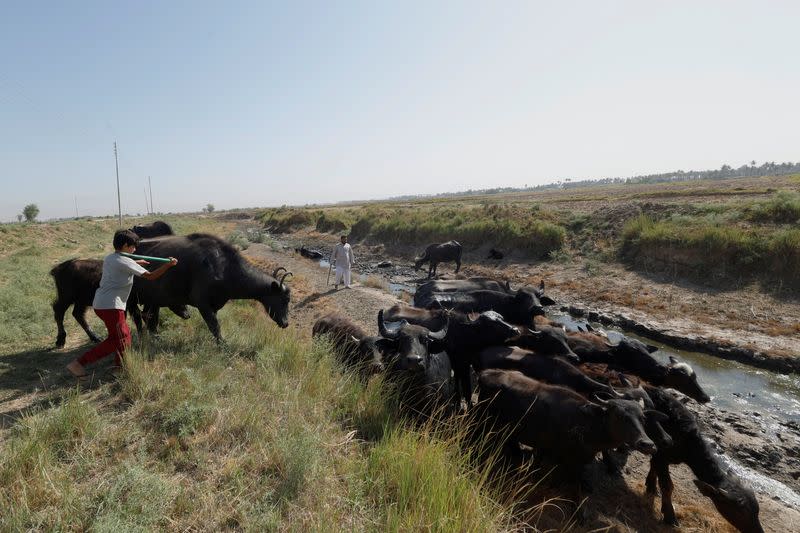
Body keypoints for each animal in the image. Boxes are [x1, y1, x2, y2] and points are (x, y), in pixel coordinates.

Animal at [130, 234, 292, 340]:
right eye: (285, 300)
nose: (286, 323)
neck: (223, 267)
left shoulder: (214, 305)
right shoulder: (202, 303)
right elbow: (215, 326)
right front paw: (223, 345)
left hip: (152, 301)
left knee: (148, 317)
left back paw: (155, 337)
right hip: (132, 299)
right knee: (138, 317)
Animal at [644, 384, 764, 528]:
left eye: (757, 511)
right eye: (740, 512)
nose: (758, 530)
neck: (686, 443)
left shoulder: (659, 455)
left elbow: (653, 467)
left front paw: (651, 487)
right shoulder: (661, 456)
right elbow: (667, 486)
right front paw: (670, 516)